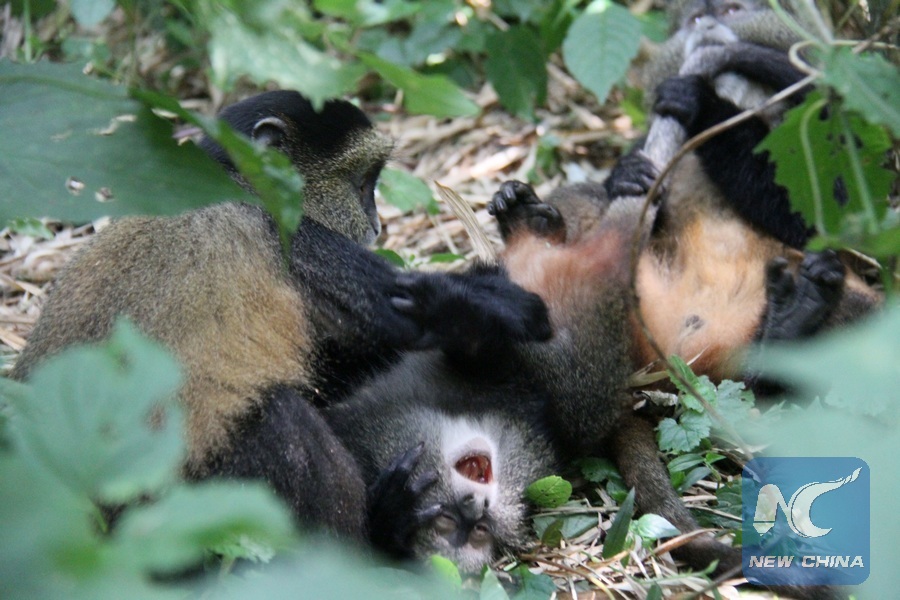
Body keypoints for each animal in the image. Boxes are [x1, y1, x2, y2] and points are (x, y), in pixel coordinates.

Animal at [9, 90, 553, 543]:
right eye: (362, 184)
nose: (378, 224)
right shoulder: (297, 243)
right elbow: (422, 323)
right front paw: (504, 302)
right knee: (279, 418)